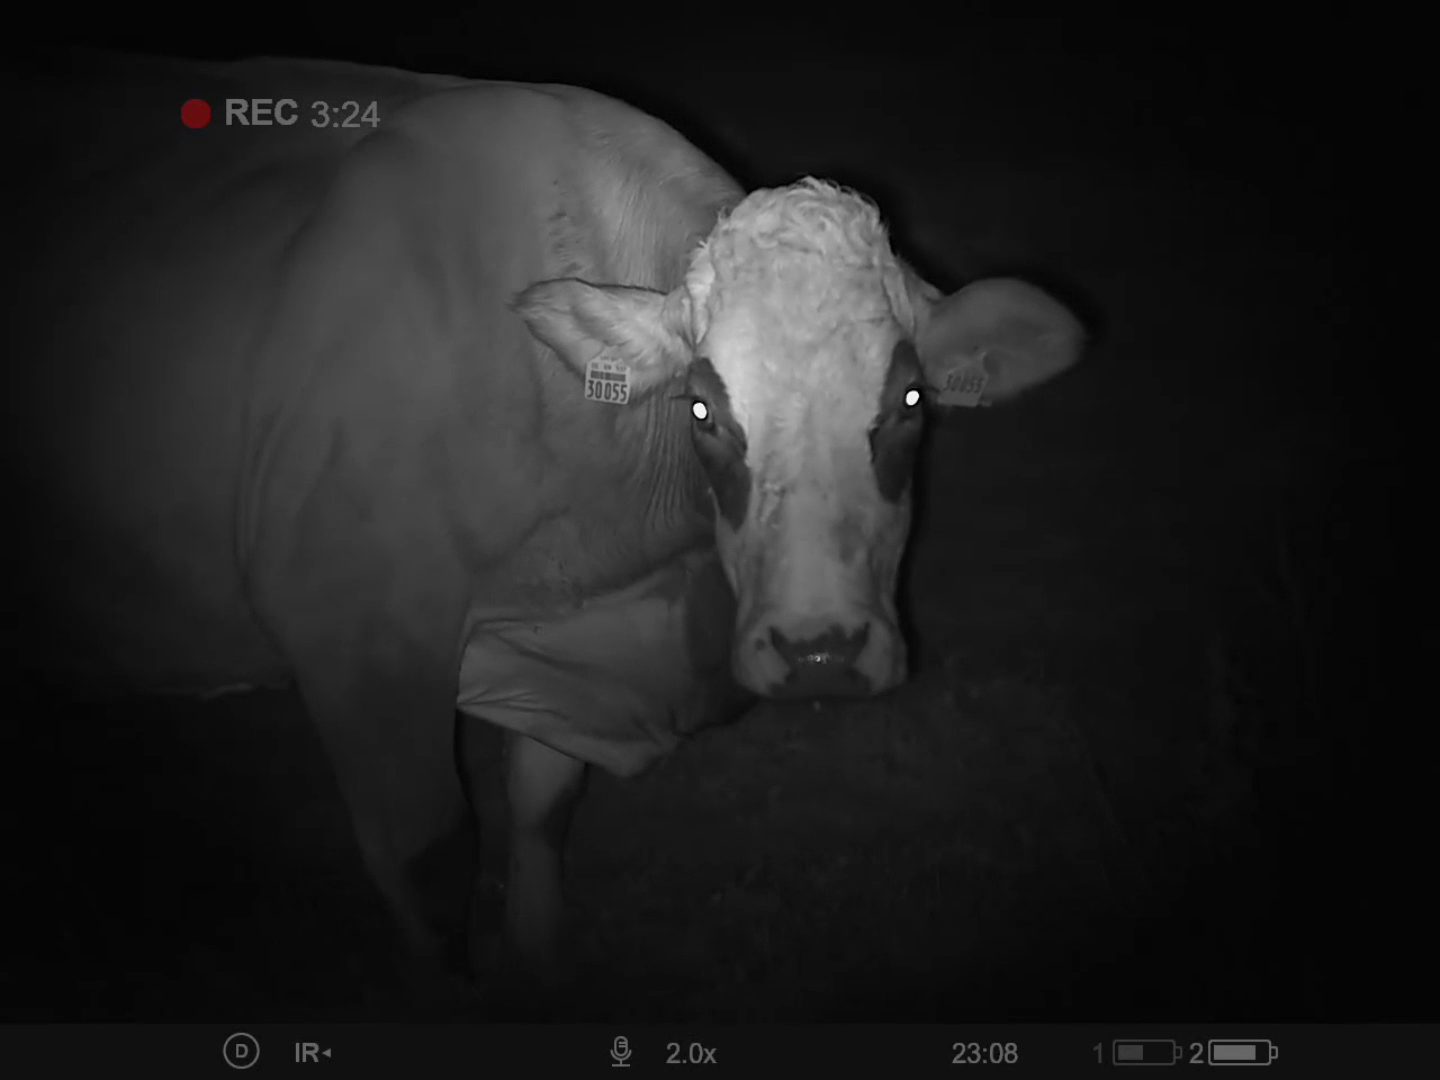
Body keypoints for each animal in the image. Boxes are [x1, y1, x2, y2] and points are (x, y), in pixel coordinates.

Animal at [4, 51, 1083, 1000]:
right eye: (703, 410)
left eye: (911, 399)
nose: (818, 651)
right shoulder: (356, 640)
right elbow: (431, 861)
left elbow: (541, 811)